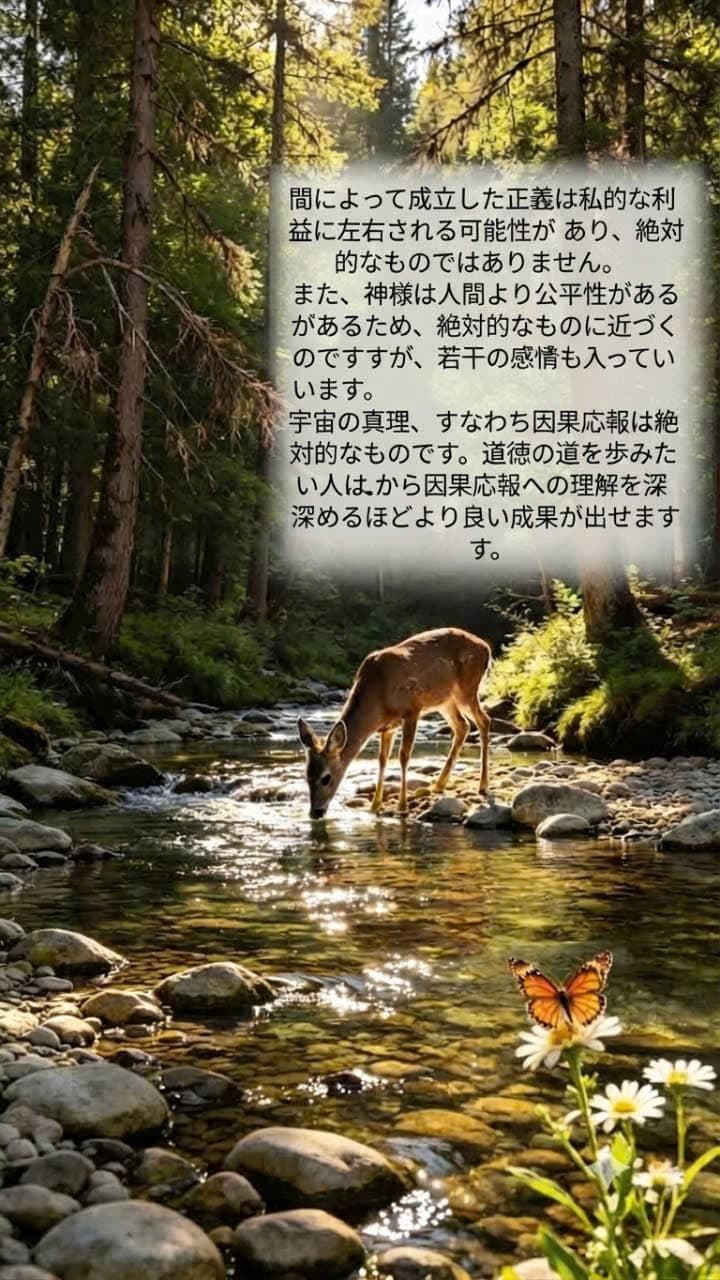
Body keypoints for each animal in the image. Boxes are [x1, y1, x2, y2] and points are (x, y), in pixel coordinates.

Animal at [298, 627, 492, 819]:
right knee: (463, 726)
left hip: (466, 689)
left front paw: (402, 807)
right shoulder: (387, 727)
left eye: (326, 778)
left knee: (484, 720)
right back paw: (439, 785)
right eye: (307, 775)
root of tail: (486, 647)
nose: (315, 813)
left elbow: (403, 756)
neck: (378, 698)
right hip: (444, 700)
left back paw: (482, 786)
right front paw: (375, 806)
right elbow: (382, 759)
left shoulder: (412, 710)